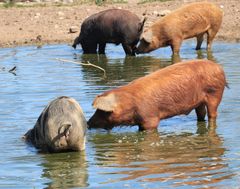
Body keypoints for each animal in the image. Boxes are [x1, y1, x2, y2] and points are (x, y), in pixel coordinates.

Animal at [87, 59, 227, 131]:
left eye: (102, 111)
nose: (88, 123)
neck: (129, 103)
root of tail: (219, 67)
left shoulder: (150, 118)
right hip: (200, 101)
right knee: (201, 114)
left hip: (215, 93)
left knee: (213, 114)